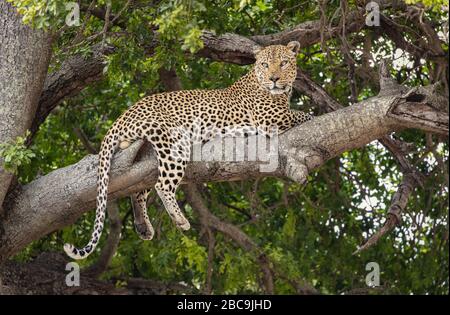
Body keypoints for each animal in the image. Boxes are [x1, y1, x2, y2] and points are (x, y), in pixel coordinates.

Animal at [64, 40, 312, 260]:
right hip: (174, 143)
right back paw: (180, 219)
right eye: (265, 65)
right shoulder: (271, 119)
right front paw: (315, 113)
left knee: (139, 190)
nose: (274, 79)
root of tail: (121, 116)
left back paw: (143, 226)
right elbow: (303, 114)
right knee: (162, 185)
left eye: (284, 63)